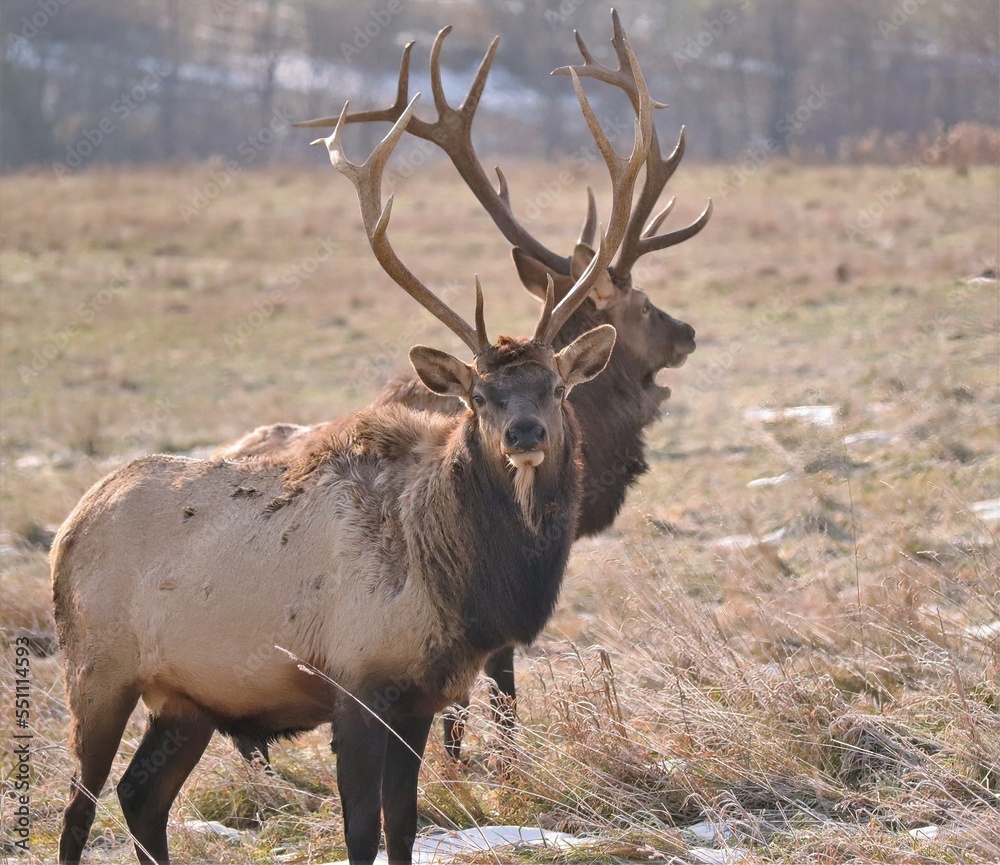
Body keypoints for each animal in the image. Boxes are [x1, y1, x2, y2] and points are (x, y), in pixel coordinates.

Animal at [53, 29, 656, 865]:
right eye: (477, 395)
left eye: (557, 388)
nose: (526, 434)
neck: (459, 582)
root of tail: (68, 528)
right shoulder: (355, 685)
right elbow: (362, 832)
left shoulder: (421, 695)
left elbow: (403, 825)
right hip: (96, 669)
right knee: (77, 808)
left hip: (187, 696)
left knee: (141, 796)